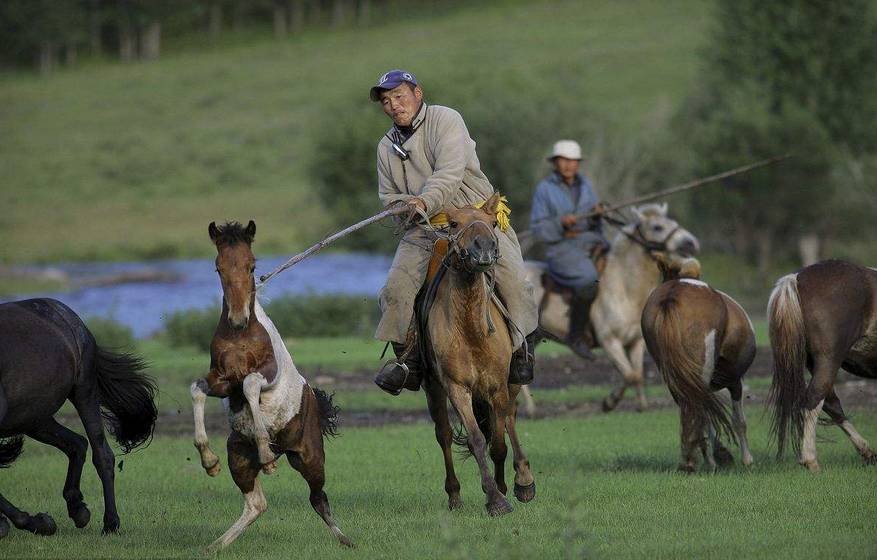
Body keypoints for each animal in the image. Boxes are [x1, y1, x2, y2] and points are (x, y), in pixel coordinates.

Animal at [0, 298, 156, 540]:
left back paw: (110, 523)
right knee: (77, 443)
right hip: (33, 417)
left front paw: (37, 522)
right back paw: (78, 509)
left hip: (83, 392)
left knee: (102, 454)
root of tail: (70, 316)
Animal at [188, 221, 350, 548]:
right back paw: (215, 545)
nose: (237, 319)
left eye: (252, 265)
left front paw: (265, 451)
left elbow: (251, 384)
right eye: (218, 267)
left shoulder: (266, 373)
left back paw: (345, 540)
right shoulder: (223, 381)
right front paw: (208, 461)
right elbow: (197, 388)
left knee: (319, 498)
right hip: (238, 456)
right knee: (256, 504)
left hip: (310, 459)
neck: (241, 337)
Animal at [418, 192, 532, 516]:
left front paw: (509, 488)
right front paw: (495, 498)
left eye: (493, 223)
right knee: (444, 434)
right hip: (434, 389)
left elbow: (498, 442)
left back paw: (523, 480)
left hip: (512, 383)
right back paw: (454, 495)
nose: (484, 249)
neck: (471, 329)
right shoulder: (457, 388)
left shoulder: (497, 385)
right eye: (455, 224)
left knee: (509, 420)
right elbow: (477, 439)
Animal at [640, 258, 756, 472]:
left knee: (694, 411)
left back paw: (694, 460)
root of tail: (671, 295)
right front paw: (746, 460)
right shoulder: (735, 381)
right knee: (699, 411)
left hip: (676, 379)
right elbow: (738, 420)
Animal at [768, 260, 876, 470]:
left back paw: (867, 452)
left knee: (831, 403)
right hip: (829, 360)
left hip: (815, 363)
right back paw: (810, 460)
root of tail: (796, 278)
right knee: (815, 399)